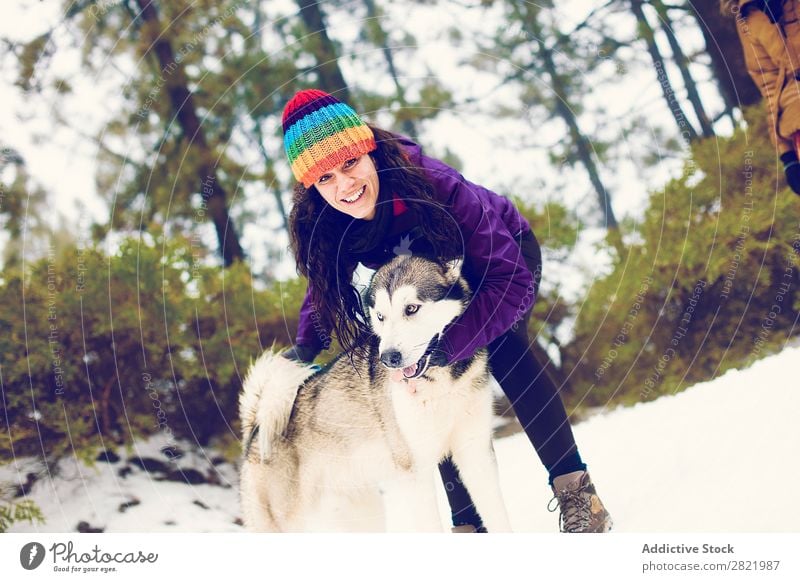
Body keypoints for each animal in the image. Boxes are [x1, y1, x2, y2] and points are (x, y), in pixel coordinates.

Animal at [239, 256, 512, 532]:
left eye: (411, 309)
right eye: (380, 316)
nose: (389, 358)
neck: (442, 383)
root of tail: (255, 430)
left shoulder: (475, 450)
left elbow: (498, 516)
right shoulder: (414, 471)